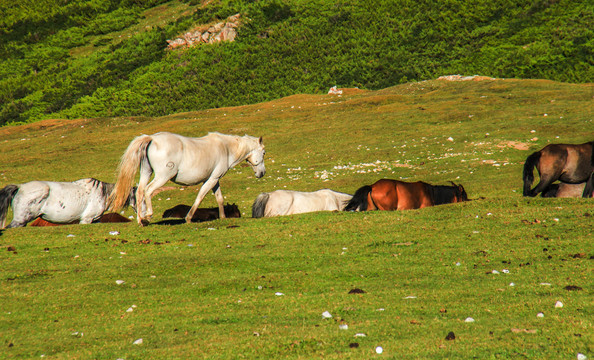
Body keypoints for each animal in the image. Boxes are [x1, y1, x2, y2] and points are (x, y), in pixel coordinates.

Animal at [109, 132, 266, 225]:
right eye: (263, 152)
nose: (262, 173)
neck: (226, 148)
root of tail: (152, 138)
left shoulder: (214, 180)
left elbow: (219, 198)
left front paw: (222, 217)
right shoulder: (211, 180)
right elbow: (200, 197)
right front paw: (189, 218)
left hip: (146, 173)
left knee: (140, 191)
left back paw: (141, 220)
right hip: (162, 177)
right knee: (148, 191)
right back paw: (148, 215)